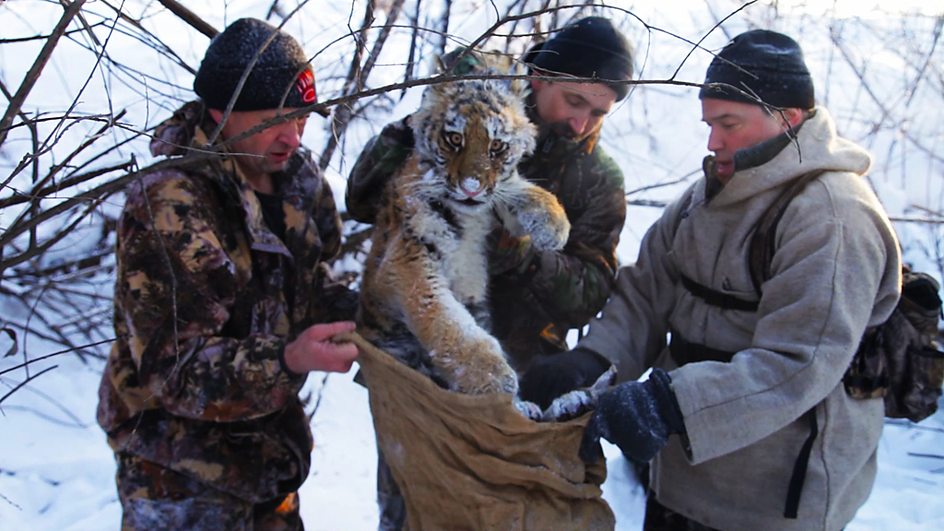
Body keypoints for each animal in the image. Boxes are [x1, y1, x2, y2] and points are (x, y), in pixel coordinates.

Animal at [357, 53, 570, 400]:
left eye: (497, 146)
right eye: (454, 139)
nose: (471, 188)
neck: (470, 217)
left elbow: (515, 187)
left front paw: (553, 223)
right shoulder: (407, 261)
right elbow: (448, 323)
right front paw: (494, 377)